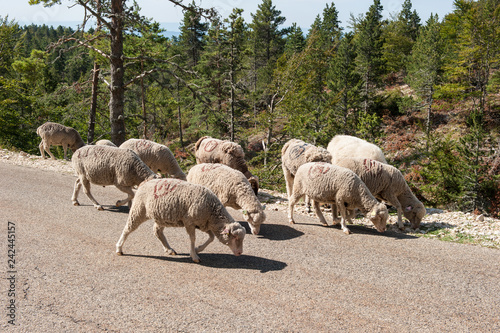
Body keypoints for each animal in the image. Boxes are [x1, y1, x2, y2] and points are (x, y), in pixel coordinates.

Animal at [114, 176, 246, 262]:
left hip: (161, 216)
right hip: (139, 210)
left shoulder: (202, 224)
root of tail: (144, 183)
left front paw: (198, 249)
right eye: (235, 237)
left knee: (157, 231)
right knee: (127, 229)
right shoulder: (189, 222)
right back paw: (119, 248)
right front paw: (194, 255)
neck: (212, 212)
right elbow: (193, 238)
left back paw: (169, 249)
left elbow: (211, 237)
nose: (240, 253)